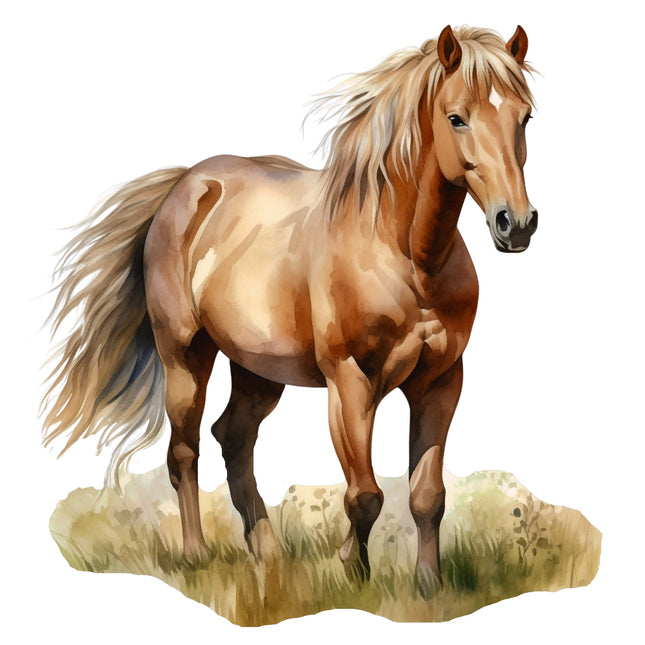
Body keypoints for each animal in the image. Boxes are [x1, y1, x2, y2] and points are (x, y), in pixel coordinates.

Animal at [43, 25, 538, 590]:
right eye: (457, 117)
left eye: (525, 116)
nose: (516, 224)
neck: (406, 257)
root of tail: (187, 184)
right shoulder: (350, 381)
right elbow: (365, 496)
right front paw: (352, 571)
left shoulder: (441, 382)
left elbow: (427, 496)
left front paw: (428, 586)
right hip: (185, 357)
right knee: (184, 451)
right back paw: (196, 555)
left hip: (258, 371)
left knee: (233, 439)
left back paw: (268, 553)